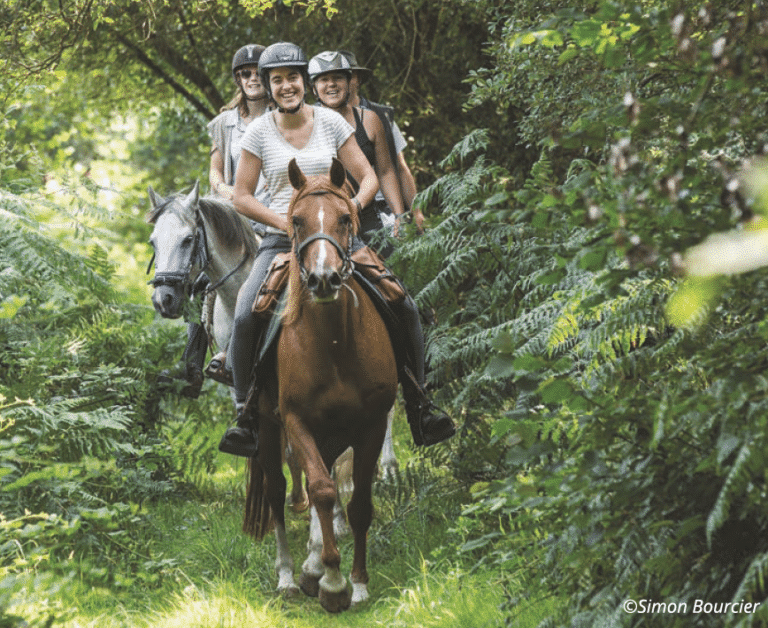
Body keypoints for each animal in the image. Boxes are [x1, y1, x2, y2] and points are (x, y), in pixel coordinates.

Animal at [242, 158, 400, 612]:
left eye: (346, 218)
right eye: (296, 221)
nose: (324, 278)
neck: (333, 344)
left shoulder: (371, 424)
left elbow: (358, 502)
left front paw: (358, 584)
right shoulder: (296, 420)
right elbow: (322, 490)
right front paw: (331, 582)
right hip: (267, 425)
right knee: (279, 490)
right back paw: (289, 576)